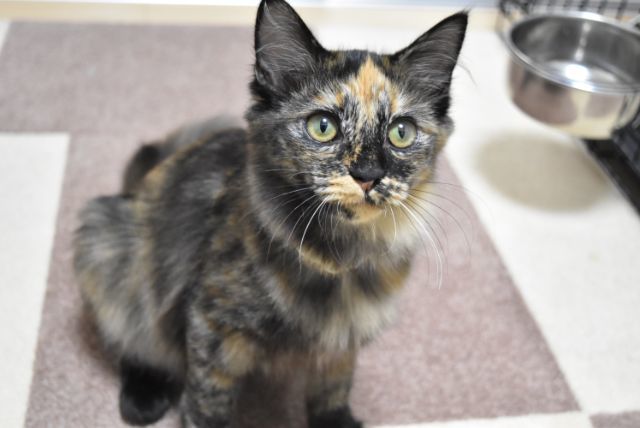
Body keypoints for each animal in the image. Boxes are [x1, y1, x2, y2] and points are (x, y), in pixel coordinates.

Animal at [73, 0, 467, 427]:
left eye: (401, 133)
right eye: (323, 127)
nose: (368, 174)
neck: (341, 258)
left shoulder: (342, 338)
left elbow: (333, 391)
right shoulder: (213, 325)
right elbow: (206, 403)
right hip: (110, 248)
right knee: (137, 336)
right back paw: (142, 397)